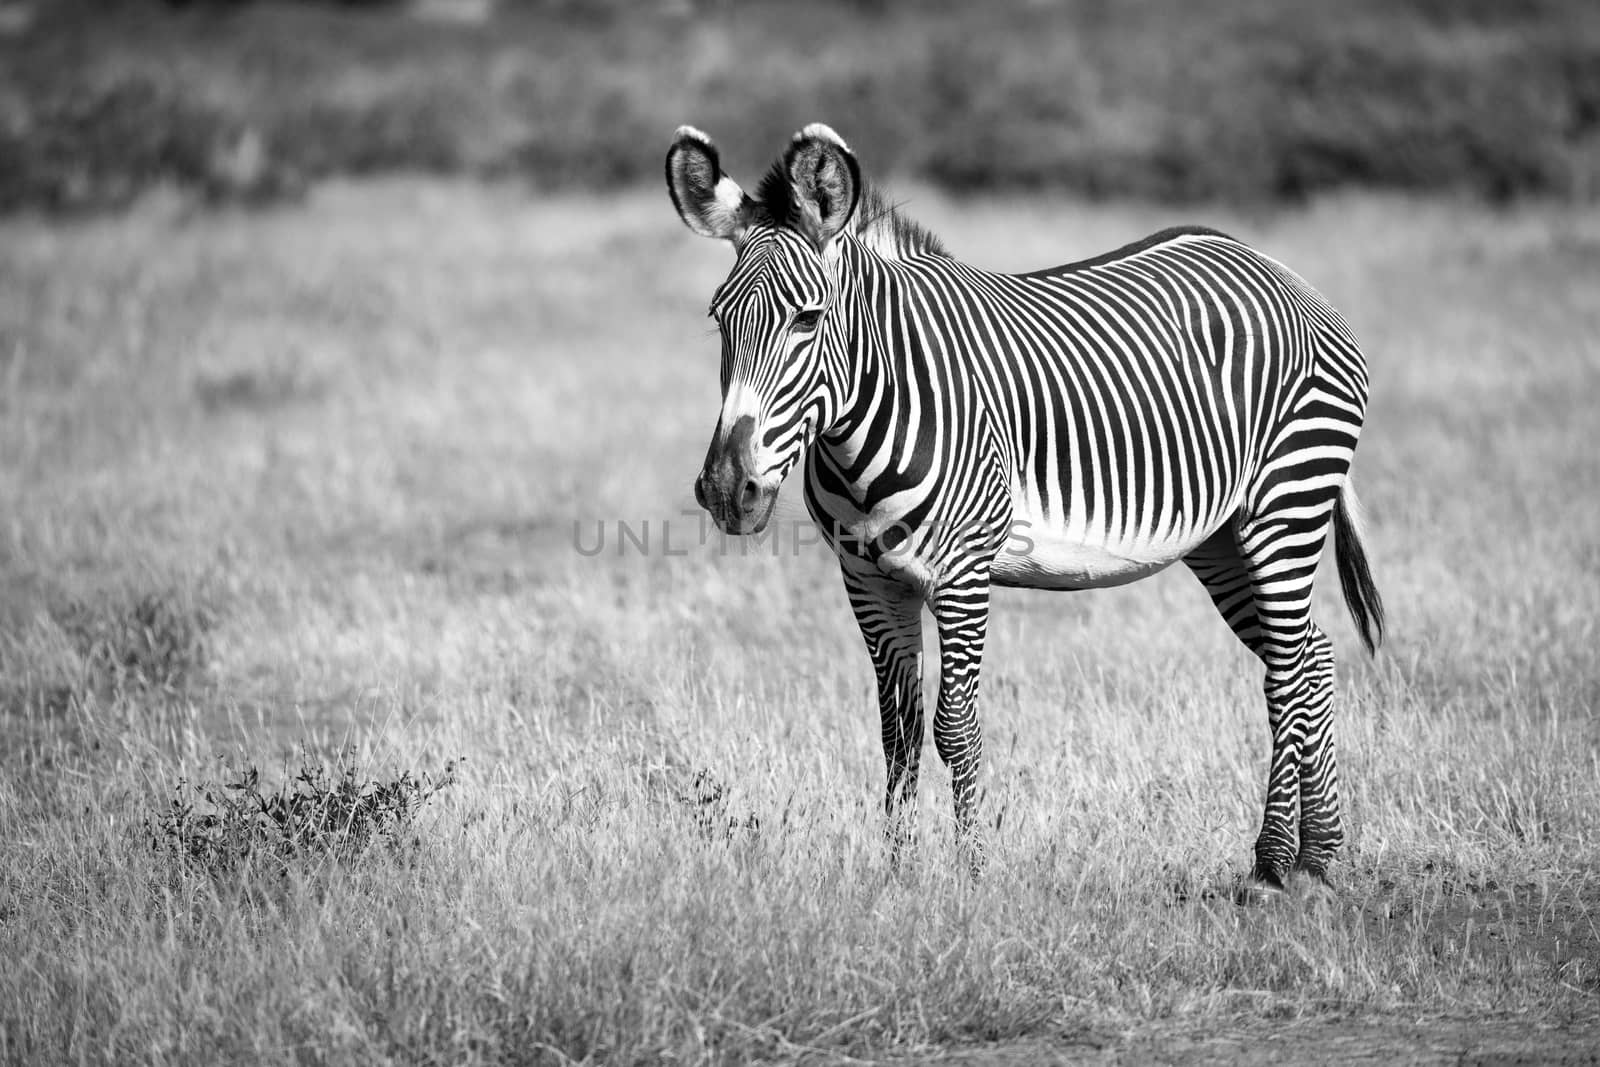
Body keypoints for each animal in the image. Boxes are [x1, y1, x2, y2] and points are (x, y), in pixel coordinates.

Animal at [668, 120, 1382, 895]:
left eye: (807, 319)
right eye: (718, 320)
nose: (727, 489)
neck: (868, 410)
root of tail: (1279, 270)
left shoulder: (962, 574)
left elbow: (954, 726)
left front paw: (973, 872)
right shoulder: (868, 578)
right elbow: (898, 729)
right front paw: (897, 874)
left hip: (1287, 500)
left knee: (1287, 672)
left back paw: (1274, 866)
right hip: (1221, 538)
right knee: (1311, 656)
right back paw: (1319, 857)